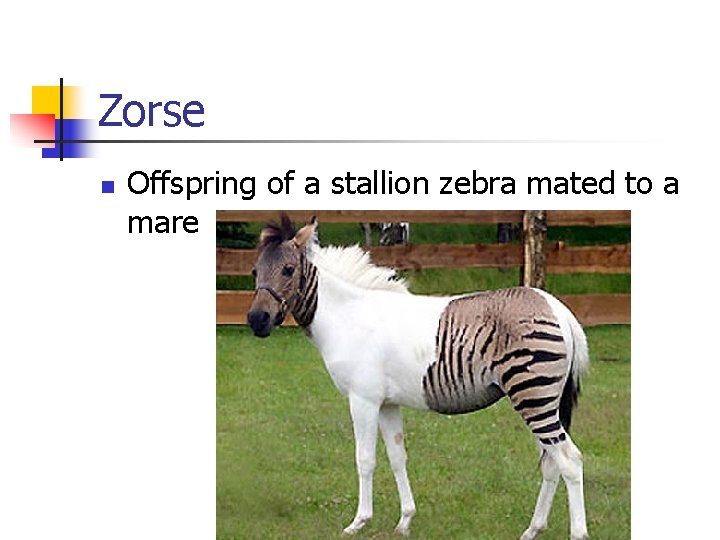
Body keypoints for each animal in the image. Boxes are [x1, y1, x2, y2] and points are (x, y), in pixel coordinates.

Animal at [246, 214, 590, 540]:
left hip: (533, 396)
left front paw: (359, 522)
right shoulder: (387, 403)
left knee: (569, 460)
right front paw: (405, 521)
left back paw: (577, 532)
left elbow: (364, 459)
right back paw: (533, 529)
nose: (256, 321)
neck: (346, 317)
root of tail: (557, 308)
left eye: (288, 270)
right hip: (544, 400)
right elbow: (398, 457)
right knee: (551, 462)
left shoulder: (363, 400)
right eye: (253, 272)